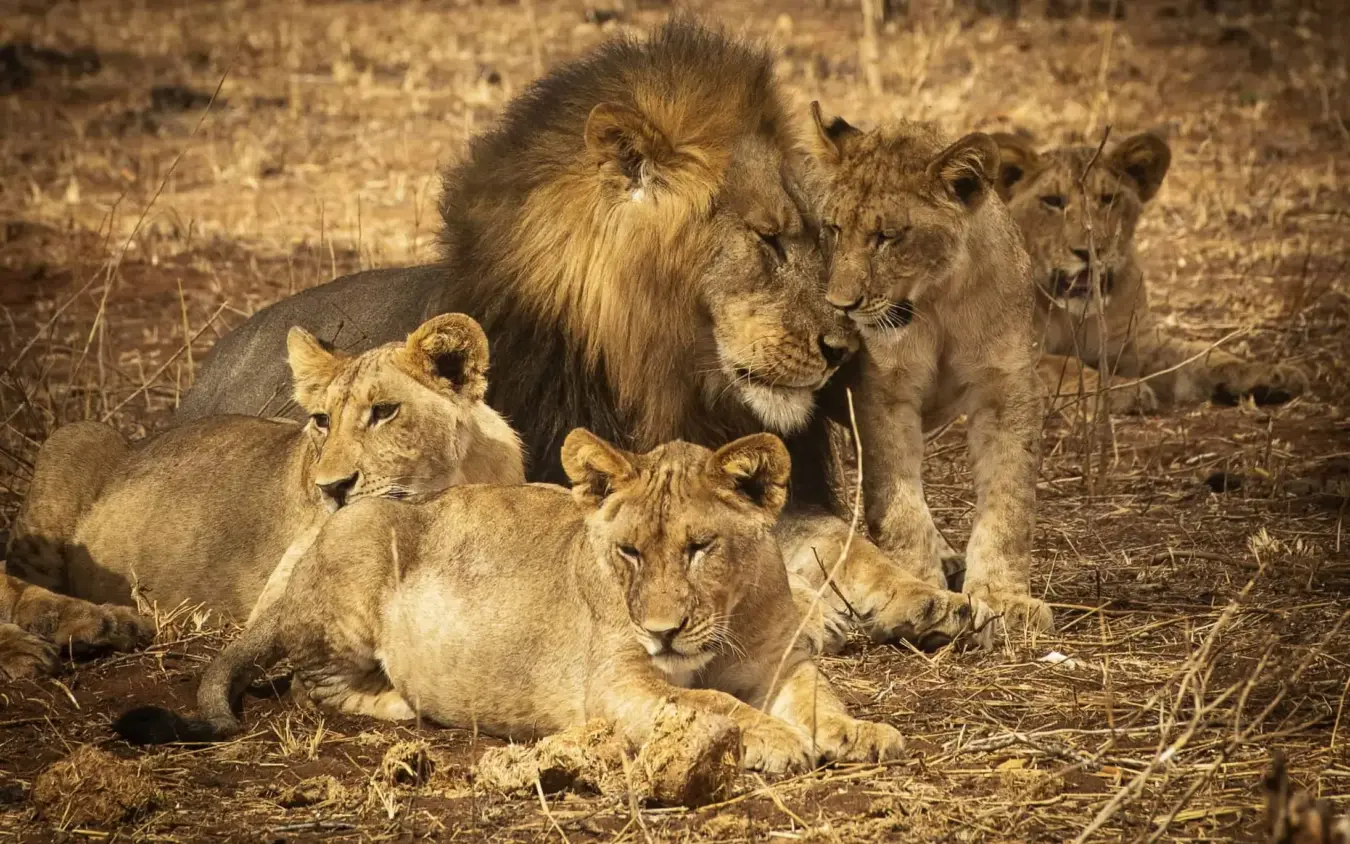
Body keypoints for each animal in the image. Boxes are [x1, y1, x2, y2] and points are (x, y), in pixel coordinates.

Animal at [114, 429, 904, 775]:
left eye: (699, 547)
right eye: (629, 552)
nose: (663, 632)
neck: (728, 622)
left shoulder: (780, 659)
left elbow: (817, 695)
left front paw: (858, 733)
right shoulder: (616, 684)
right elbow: (706, 702)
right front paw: (775, 741)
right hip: (362, 551)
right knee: (318, 681)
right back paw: (407, 700)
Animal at [171, 22, 982, 651]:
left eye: (821, 237)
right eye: (769, 239)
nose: (846, 352)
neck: (667, 376)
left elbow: (827, 536)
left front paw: (925, 593)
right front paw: (811, 617)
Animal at [806, 106, 1052, 635]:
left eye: (887, 237)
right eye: (833, 229)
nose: (839, 305)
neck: (936, 301)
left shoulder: (1006, 388)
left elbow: (1008, 499)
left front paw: (1003, 597)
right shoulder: (882, 393)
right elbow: (897, 500)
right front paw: (921, 586)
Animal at [992, 131, 1308, 410]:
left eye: (1108, 199)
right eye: (1052, 201)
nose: (1091, 251)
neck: (1070, 314)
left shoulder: (1136, 342)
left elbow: (1200, 354)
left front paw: (1267, 374)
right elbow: (1061, 365)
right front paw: (1119, 392)